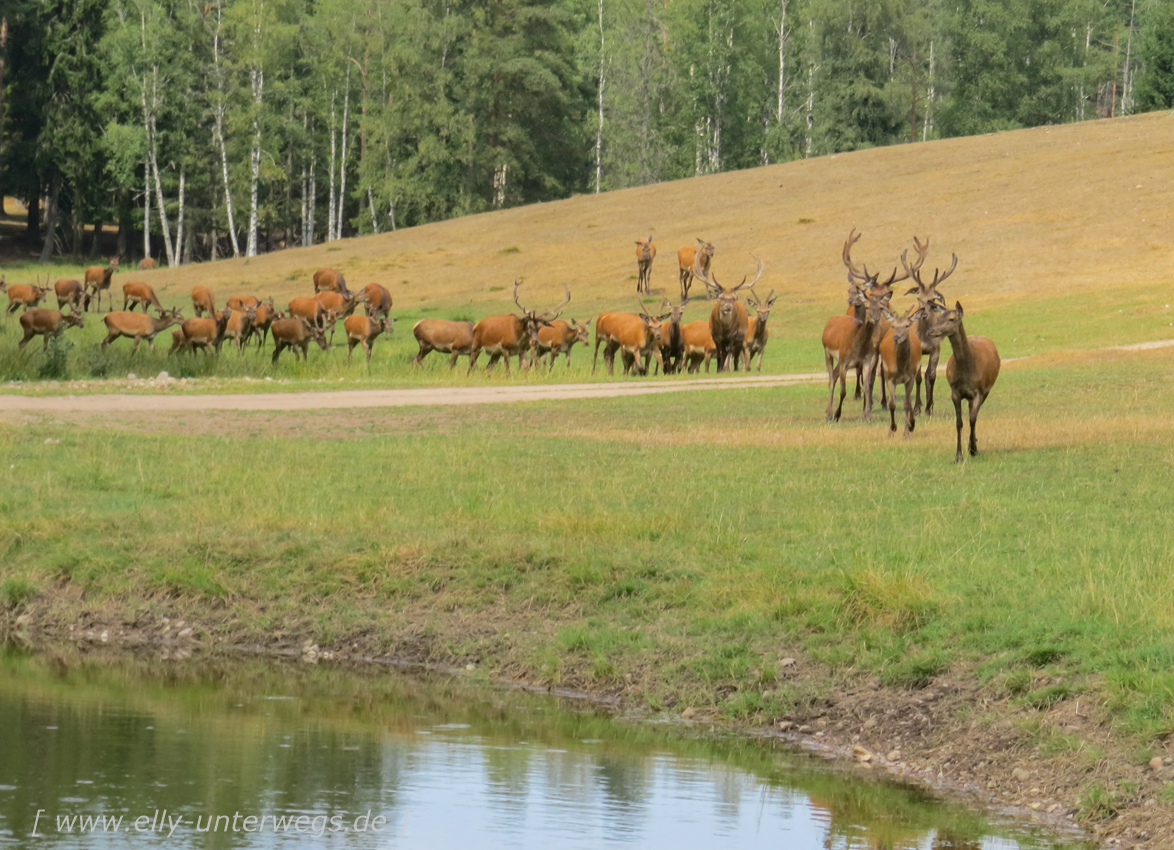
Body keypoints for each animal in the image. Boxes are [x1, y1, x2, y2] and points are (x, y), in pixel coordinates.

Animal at [882, 302, 925, 434]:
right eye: (893, 326)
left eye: (906, 325)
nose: (896, 337)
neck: (901, 368)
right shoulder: (889, 377)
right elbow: (892, 404)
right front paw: (892, 428)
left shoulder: (910, 377)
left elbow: (906, 404)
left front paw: (906, 431)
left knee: (909, 400)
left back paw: (912, 425)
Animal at [925, 302, 1000, 464]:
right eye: (938, 318)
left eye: (952, 319)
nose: (930, 331)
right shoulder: (955, 392)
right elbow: (959, 422)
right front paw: (958, 455)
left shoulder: (979, 391)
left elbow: (972, 419)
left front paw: (973, 449)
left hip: (987, 390)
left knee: (974, 415)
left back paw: (973, 445)